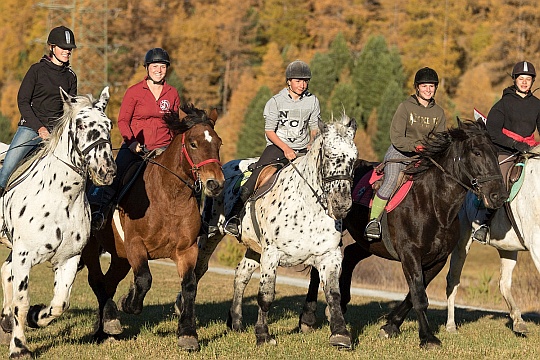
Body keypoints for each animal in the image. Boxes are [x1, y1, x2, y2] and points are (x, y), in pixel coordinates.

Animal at [0, 86, 116, 358]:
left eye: (109, 125)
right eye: (81, 125)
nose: (106, 170)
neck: (61, 197)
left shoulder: (69, 258)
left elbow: (60, 303)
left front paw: (35, 317)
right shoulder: (24, 257)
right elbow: (22, 301)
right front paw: (19, 348)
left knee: (5, 271)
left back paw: (6, 321)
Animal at [81, 104, 224, 352]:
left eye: (219, 143)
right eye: (193, 143)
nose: (215, 184)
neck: (170, 197)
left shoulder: (187, 250)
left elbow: (189, 286)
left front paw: (188, 334)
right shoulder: (135, 245)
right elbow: (144, 279)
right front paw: (128, 303)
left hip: (120, 257)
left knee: (108, 283)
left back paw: (103, 328)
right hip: (92, 248)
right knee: (98, 281)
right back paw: (110, 320)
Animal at [195, 113, 358, 348]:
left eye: (354, 159)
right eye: (328, 155)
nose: (341, 205)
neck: (308, 206)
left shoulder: (330, 255)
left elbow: (333, 294)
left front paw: (340, 334)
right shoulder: (272, 254)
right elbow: (266, 296)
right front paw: (263, 335)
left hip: (255, 248)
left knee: (241, 274)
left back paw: (236, 321)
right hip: (211, 234)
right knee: (199, 269)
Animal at [302, 120, 508, 348]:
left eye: (495, 152)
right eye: (476, 152)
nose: (498, 195)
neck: (434, 204)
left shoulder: (437, 260)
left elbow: (414, 294)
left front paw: (390, 325)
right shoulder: (410, 254)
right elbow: (419, 296)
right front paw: (427, 337)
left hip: (369, 243)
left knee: (351, 255)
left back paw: (339, 306)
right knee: (318, 267)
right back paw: (308, 318)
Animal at [448, 146, 540, 334]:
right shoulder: (536, 244)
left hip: (508, 248)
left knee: (504, 283)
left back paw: (518, 321)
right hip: (462, 242)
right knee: (452, 279)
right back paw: (450, 326)